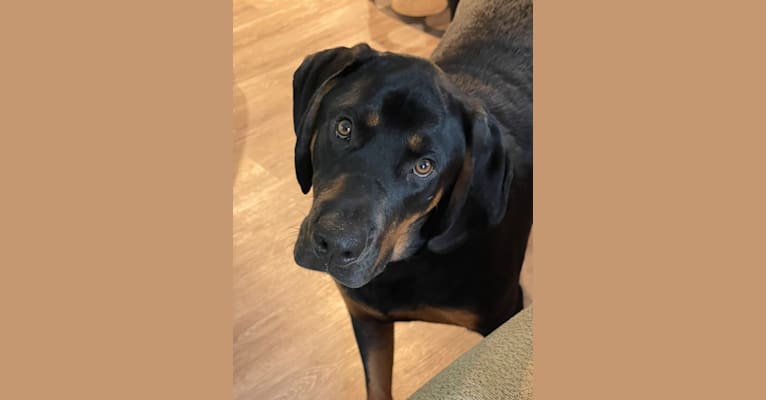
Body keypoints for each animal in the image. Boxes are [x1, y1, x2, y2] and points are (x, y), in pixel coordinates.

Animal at [292, 1, 532, 398]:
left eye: (424, 166)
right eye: (344, 127)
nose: (334, 245)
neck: (404, 262)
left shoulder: (502, 315)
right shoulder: (366, 317)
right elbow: (377, 384)